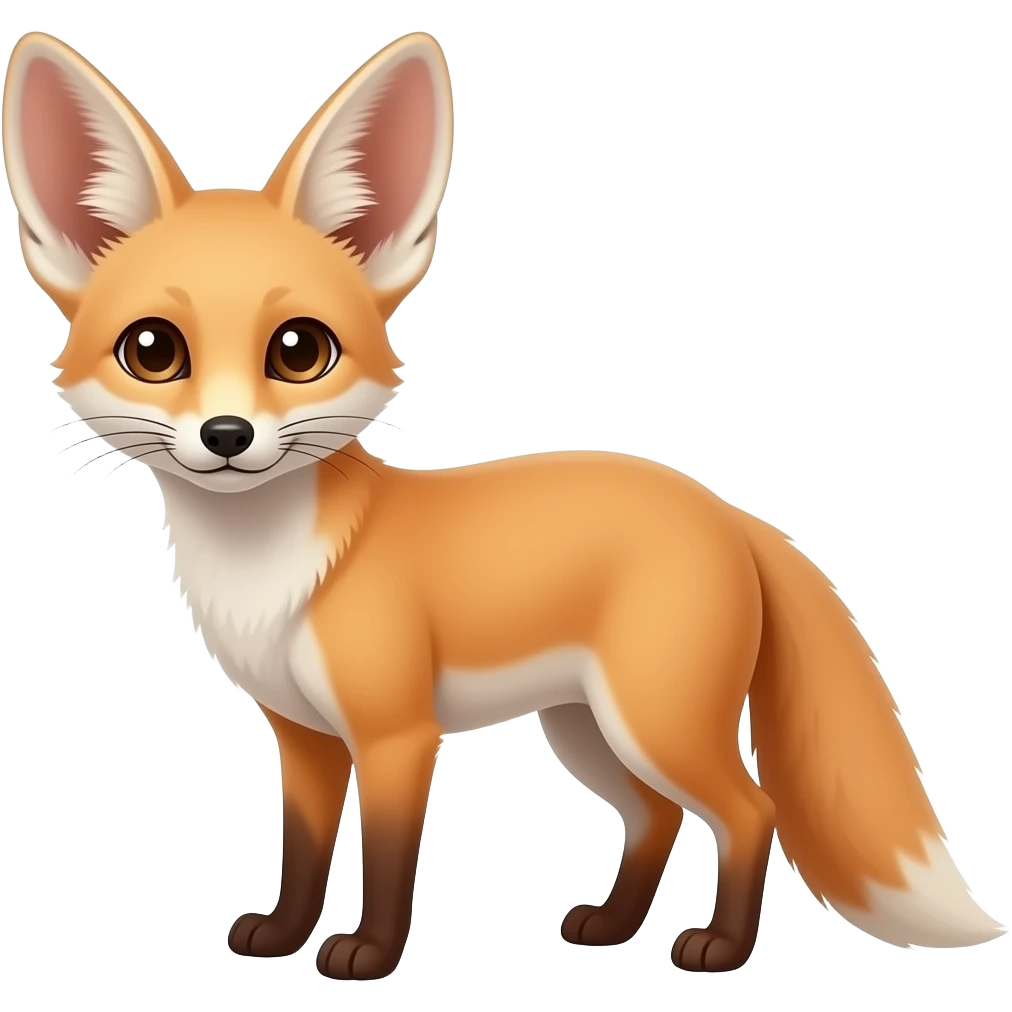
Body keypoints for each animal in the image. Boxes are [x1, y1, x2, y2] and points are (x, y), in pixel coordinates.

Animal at [5, 28, 1007, 980]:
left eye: (298, 350)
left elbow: (388, 858)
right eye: (152, 350)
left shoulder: (398, 733)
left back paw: (719, 948)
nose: (226, 435)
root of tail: (725, 510)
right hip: (588, 730)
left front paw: (369, 955)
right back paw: (612, 928)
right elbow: (304, 853)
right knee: (655, 818)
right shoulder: (304, 738)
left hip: (654, 722)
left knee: (748, 808)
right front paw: (284, 935)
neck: (269, 575)